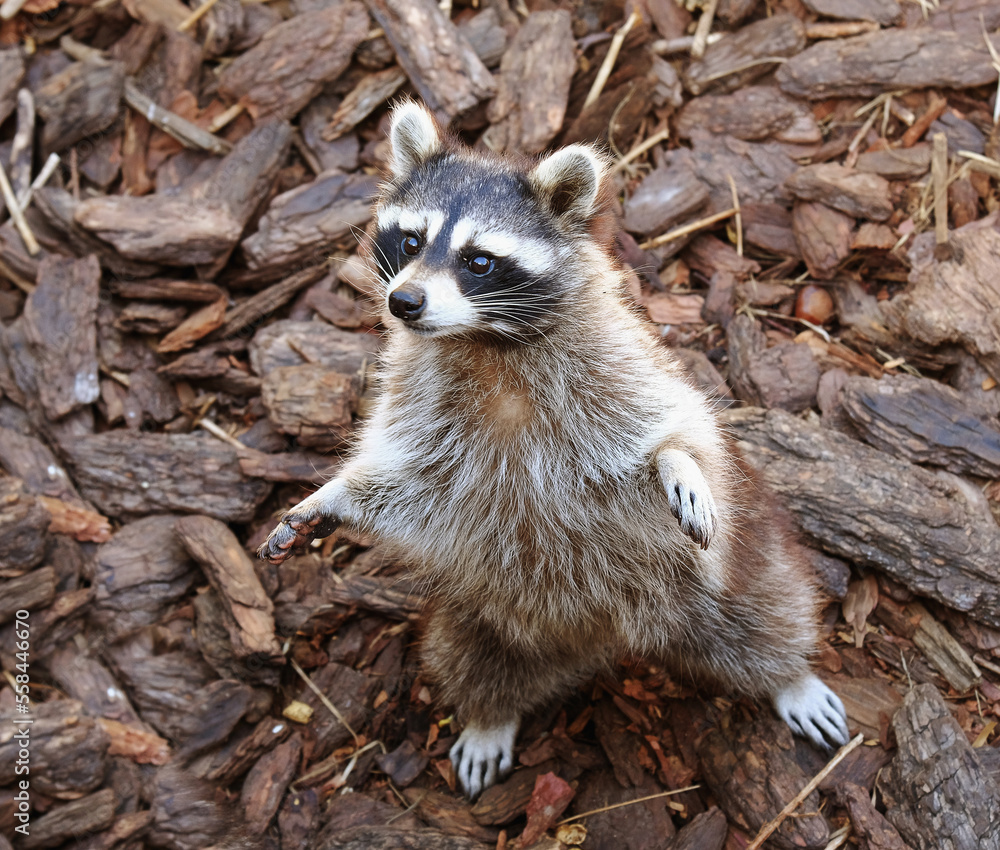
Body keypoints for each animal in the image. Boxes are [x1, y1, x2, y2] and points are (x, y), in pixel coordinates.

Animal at [260, 101, 850, 798]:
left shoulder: (614, 363)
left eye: (478, 260)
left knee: (763, 616)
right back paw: (489, 717)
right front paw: (335, 496)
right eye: (411, 241)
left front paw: (676, 460)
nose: (404, 301)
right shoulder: (421, 401)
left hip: (728, 574)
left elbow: (674, 424)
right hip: (480, 614)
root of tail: (611, 636)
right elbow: (410, 477)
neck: (482, 340)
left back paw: (789, 676)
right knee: (471, 659)